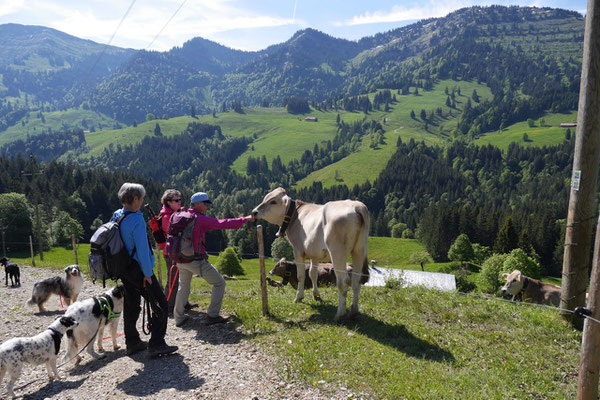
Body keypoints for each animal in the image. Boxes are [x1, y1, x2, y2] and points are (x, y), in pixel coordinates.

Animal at [251, 188, 368, 322]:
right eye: (265, 198)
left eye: (273, 201)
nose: (254, 212)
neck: (295, 215)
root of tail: (356, 206)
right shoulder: (315, 254)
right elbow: (313, 274)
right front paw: (316, 295)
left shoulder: (298, 251)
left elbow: (301, 275)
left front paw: (298, 297)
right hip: (359, 250)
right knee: (356, 280)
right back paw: (353, 312)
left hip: (338, 252)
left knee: (343, 281)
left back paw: (340, 314)